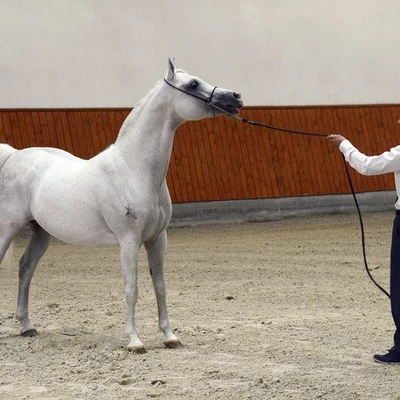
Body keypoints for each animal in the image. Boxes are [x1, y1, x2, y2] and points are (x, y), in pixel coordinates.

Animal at [0, 57, 244, 352]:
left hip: (41, 233)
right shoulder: (129, 241)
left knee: (26, 269)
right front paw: (135, 342)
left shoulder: (157, 239)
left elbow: (160, 287)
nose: (235, 97)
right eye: (193, 84)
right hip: (7, 227)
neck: (133, 168)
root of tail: (13, 155)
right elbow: (132, 289)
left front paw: (170, 336)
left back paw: (27, 327)